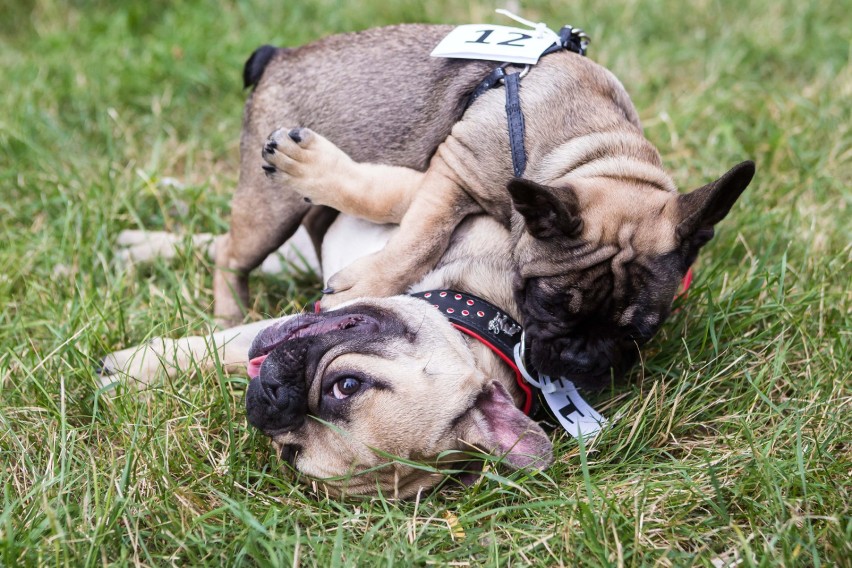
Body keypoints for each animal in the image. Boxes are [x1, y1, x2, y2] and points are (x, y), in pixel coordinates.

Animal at [211, 26, 752, 390]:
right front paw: (366, 285)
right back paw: (228, 310)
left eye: (641, 332)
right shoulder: (454, 172)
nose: (583, 361)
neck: (598, 150)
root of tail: (278, 57)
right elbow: (421, 236)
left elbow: (389, 201)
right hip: (268, 211)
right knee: (229, 253)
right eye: (549, 304)